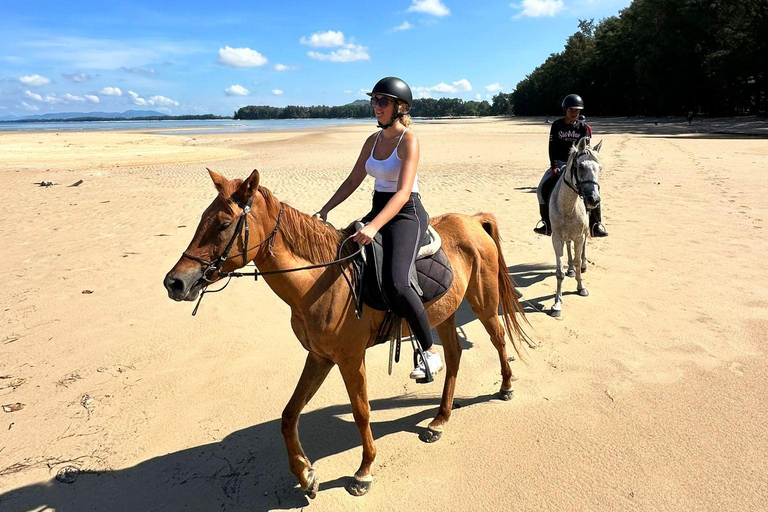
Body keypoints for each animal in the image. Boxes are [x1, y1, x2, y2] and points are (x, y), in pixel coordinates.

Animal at [165, 170, 532, 498]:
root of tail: (473, 220)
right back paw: (439, 419)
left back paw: (506, 387)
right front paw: (306, 475)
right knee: (454, 355)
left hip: (483, 303)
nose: (175, 282)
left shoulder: (350, 358)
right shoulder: (320, 357)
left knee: (498, 339)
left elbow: (361, 412)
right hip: (443, 314)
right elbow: (288, 415)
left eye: (224, 224)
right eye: (202, 219)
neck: (321, 281)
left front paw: (363, 472)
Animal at [548, 138, 604, 318]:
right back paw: (571, 269)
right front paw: (557, 304)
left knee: (584, 247)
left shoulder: (579, 236)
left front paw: (581, 287)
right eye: (580, 167)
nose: (594, 199)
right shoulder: (557, 238)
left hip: (584, 232)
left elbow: (579, 260)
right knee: (569, 247)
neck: (568, 206)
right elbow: (560, 272)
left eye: (599, 168)